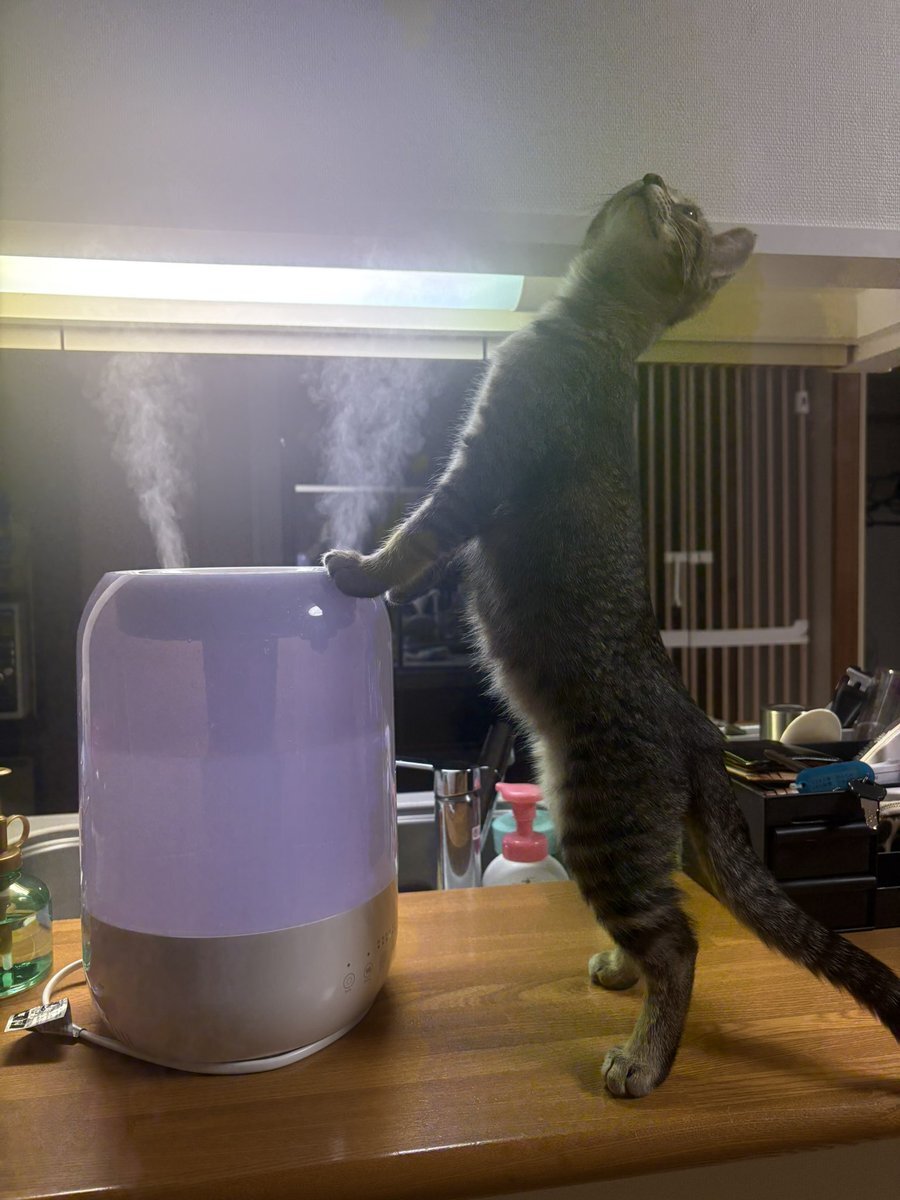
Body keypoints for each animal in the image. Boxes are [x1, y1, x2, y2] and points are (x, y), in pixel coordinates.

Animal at [325, 174, 900, 1097]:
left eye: (692, 213)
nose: (655, 178)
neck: (589, 326)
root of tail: (700, 732)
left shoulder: (480, 467)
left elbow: (416, 538)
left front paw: (359, 571)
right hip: (637, 838)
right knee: (669, 922)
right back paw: (619, 975)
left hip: (602, 826)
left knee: (680, 943)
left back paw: (644, 1057)